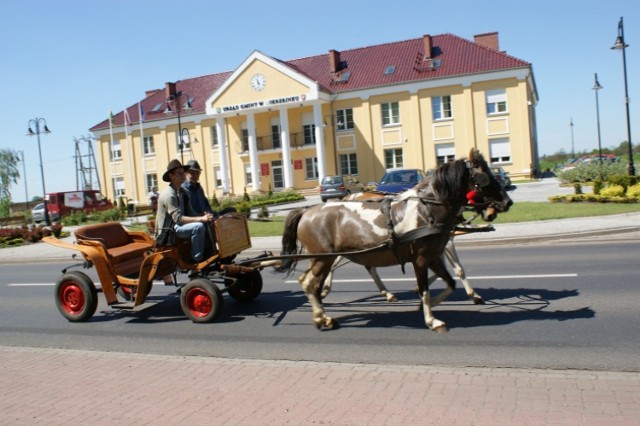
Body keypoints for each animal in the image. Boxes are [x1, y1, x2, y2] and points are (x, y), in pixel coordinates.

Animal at [276, 150, 510, 332]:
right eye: (484, 177)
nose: (507, 202)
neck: (427, 208)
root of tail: (306, 212)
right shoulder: (421, 259)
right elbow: (425, 287)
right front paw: (431, 319)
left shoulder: (435, 256)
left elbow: (450, 282)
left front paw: (428, 305)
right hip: (322, 258)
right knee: (309, 283)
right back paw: (321, 316)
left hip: (326, 258)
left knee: (313, 282)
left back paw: (325, 313)